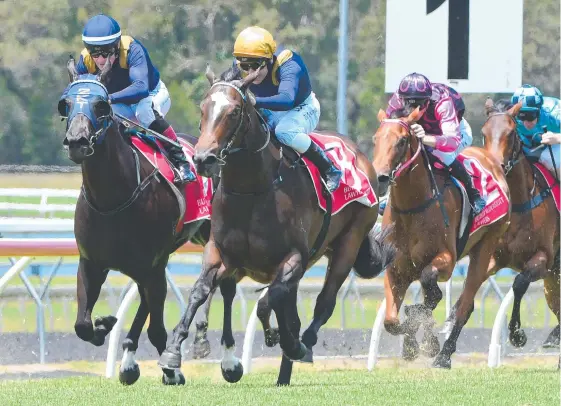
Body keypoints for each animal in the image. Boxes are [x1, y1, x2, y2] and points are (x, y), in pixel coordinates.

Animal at [58, 59, 210, 384]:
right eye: (65, 104)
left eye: (101, 105)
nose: (77, 141)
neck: (112, 200)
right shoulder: (91, 263)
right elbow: (82, 325)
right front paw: (104, 324)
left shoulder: (153, 264)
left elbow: (158, 330)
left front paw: (172, 370)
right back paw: (128, 359)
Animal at [159, 66, 394, 384]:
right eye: (203, 107)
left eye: (234, 111)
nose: (203, 158)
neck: (252, 191)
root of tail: (360, 155)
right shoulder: (220, 251)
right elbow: (201, 290)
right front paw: (173, 353)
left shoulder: (294, 257)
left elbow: (269, 300)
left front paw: (283, 340)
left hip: (349, 242)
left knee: (324, 301)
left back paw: (302, 345)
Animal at [372, 107, 512, 368]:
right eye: (376, 139)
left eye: (402, 141)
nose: (381, 177)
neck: (412, 209)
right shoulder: (395, 268)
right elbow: (391, 321)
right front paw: (411, 344)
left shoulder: (446, 260)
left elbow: (430, 291)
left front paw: (426, 340)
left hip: (485, 247)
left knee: (464, 306)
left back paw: (444, 355)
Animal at [480, 97, 556, 348]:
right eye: (484, 132)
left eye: (511, 132)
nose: (495, 165)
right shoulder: (494, 256)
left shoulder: (544, 258)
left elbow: (519, 283)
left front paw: (516, 333)